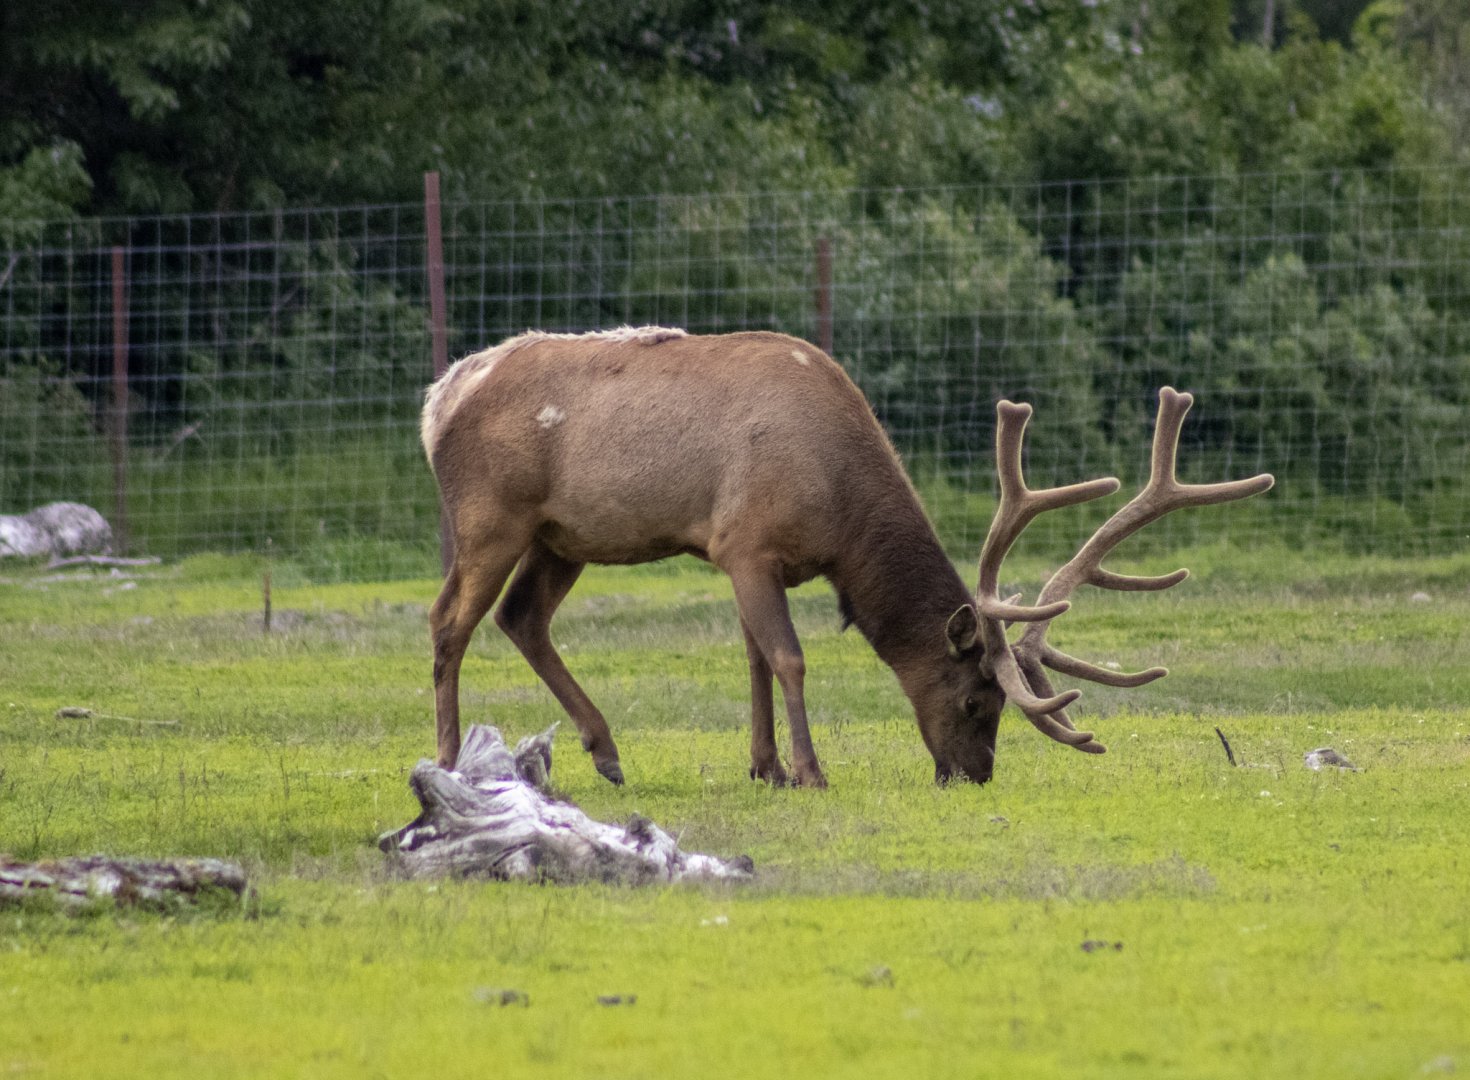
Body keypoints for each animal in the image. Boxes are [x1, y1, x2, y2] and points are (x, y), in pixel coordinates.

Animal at [421, 326, 1273, 787]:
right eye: (978, 701)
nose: (974, 775)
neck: (839, 513)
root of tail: (437, 400)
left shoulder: (747, 558)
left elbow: (754, 658)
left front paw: (764, 767)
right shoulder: (746, 540)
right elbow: (789, 658)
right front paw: (809, 770)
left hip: (561, 535)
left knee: (521, 618)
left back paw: (605, 752)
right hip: (490, 514)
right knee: (448, 621)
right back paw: (450, 759)